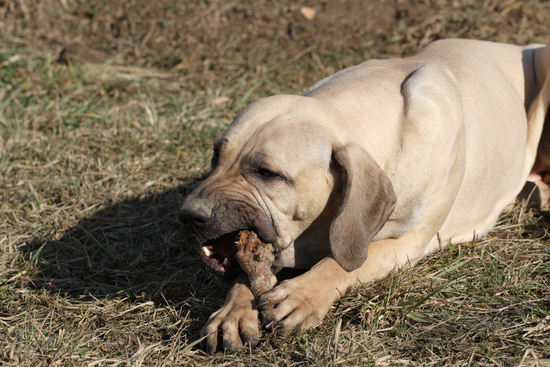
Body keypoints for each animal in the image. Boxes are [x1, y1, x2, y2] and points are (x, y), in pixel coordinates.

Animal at [179, 38, 550, 354]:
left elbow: (345, 263)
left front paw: (303, 295)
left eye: (267, 173)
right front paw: (233, 310)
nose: (188, 215)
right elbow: (247, 271)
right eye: (216, 155)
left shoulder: (408, 244)